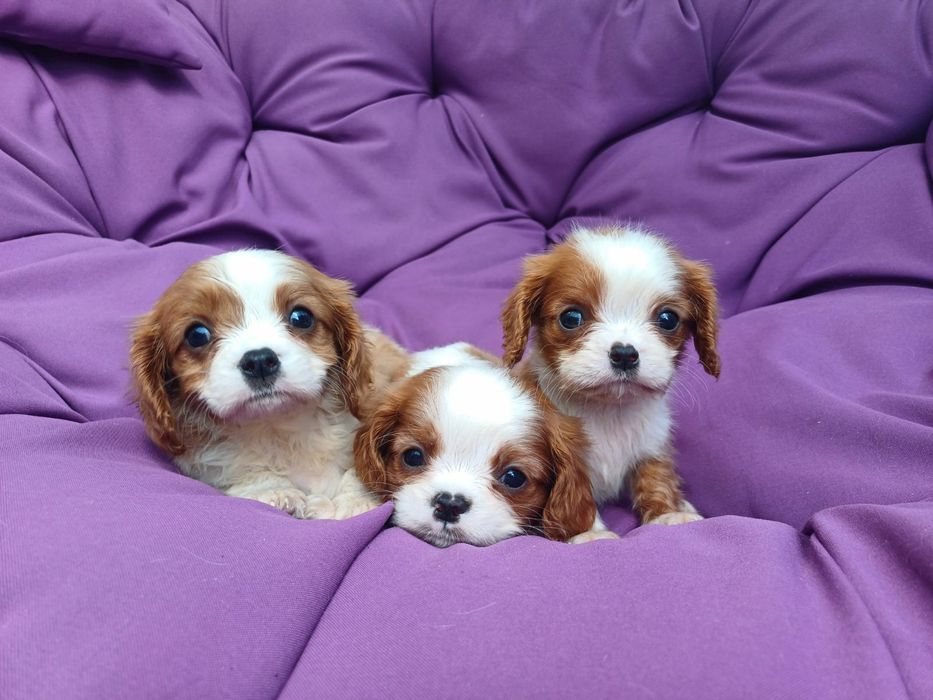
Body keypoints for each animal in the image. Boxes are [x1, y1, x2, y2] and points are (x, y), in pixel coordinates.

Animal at [130, 249, 403, 519]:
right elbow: (249, 475)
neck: (277, 426)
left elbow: (357, 471)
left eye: (301, 317)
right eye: (197, 335)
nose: (259, 361)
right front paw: (274, 491)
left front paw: (353, 501)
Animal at [502, 225, 720, 540]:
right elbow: (576, 497)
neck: (608, 410)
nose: (625, 354)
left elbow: (656, 476)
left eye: (667, 319)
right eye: (571, 317)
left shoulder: (652, 443)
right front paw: (588, 533)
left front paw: (668, 513)